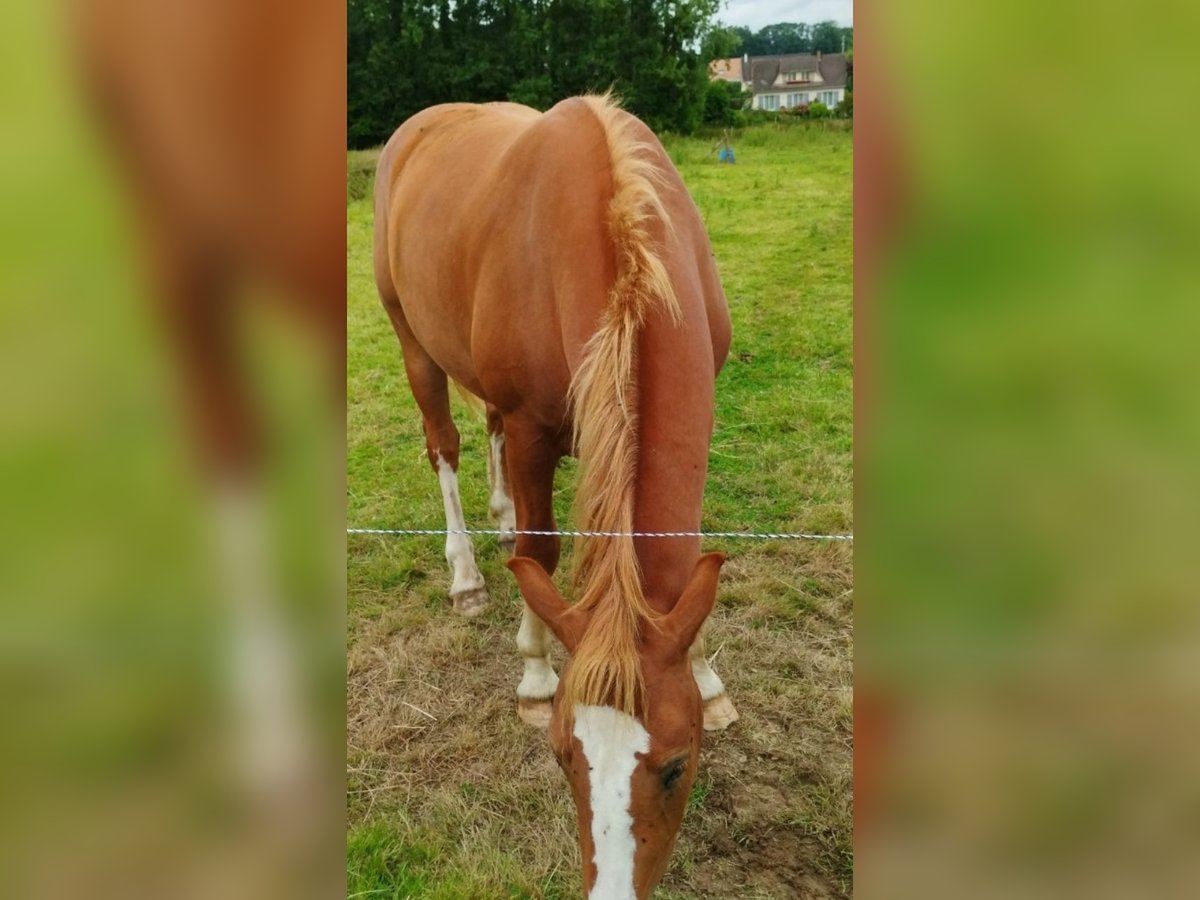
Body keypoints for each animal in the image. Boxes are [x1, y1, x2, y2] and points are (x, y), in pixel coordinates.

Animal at [374, 95, 734, 897]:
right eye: (565, 758)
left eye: (676, 765)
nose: (610, 893)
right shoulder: (534, 430)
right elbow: (542, 551)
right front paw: (536, 675)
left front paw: (706, 673)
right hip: (414, 342)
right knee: (445, 444)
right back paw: (469, 573)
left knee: (486, 434)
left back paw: (501, 519)